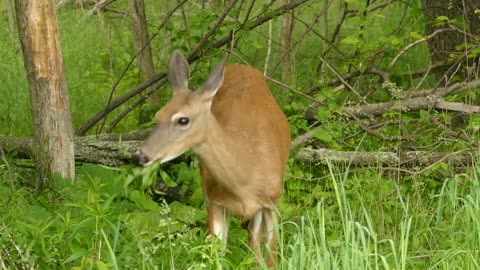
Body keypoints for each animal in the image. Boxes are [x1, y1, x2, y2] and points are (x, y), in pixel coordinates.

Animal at [135, 49, 292, 266]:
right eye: (159, 115)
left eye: (183, 120)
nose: (142, 156)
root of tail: (242, 67)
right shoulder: (214, 202)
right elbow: (215, 256)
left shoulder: (273, 201)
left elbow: (272, 257)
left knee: (255, 242)